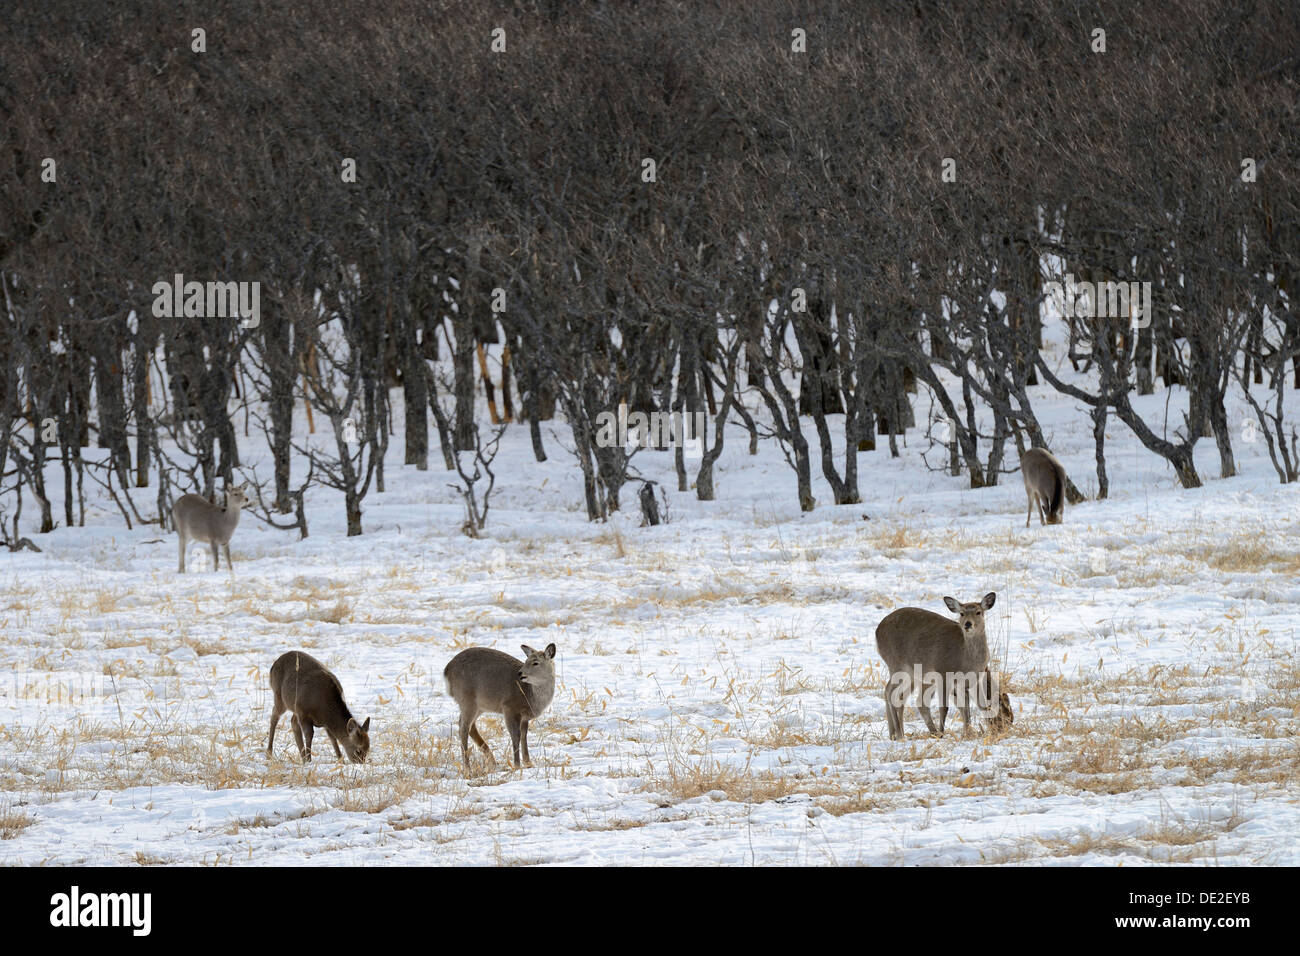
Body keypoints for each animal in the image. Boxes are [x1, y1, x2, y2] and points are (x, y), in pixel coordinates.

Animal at [444, 642, 556, 770]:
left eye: (535, 662)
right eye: (526, 660)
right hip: (467, 699)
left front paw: (528, 763)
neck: (530, 696)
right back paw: (468, 766)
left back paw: (491, 760)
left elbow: (524, 735)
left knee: (469, 725)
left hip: (479, 705)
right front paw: (517, 765)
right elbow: (515, 735)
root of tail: (446, 670)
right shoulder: (509, 707)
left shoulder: (524, 716)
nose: (520, 673)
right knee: (464, 727)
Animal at [873, 595, 1013, 743]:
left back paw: (896, 734)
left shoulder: (963, 682)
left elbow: (964, 707)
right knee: (891, 693)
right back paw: (901, 734)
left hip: (912, 675)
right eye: (961, 613)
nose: (967, 624)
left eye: (978, 612)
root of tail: (877, 632)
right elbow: (944, 707)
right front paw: (942, 733)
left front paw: (967, 733)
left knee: (901, 697)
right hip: (897, 666)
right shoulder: (944, 674)